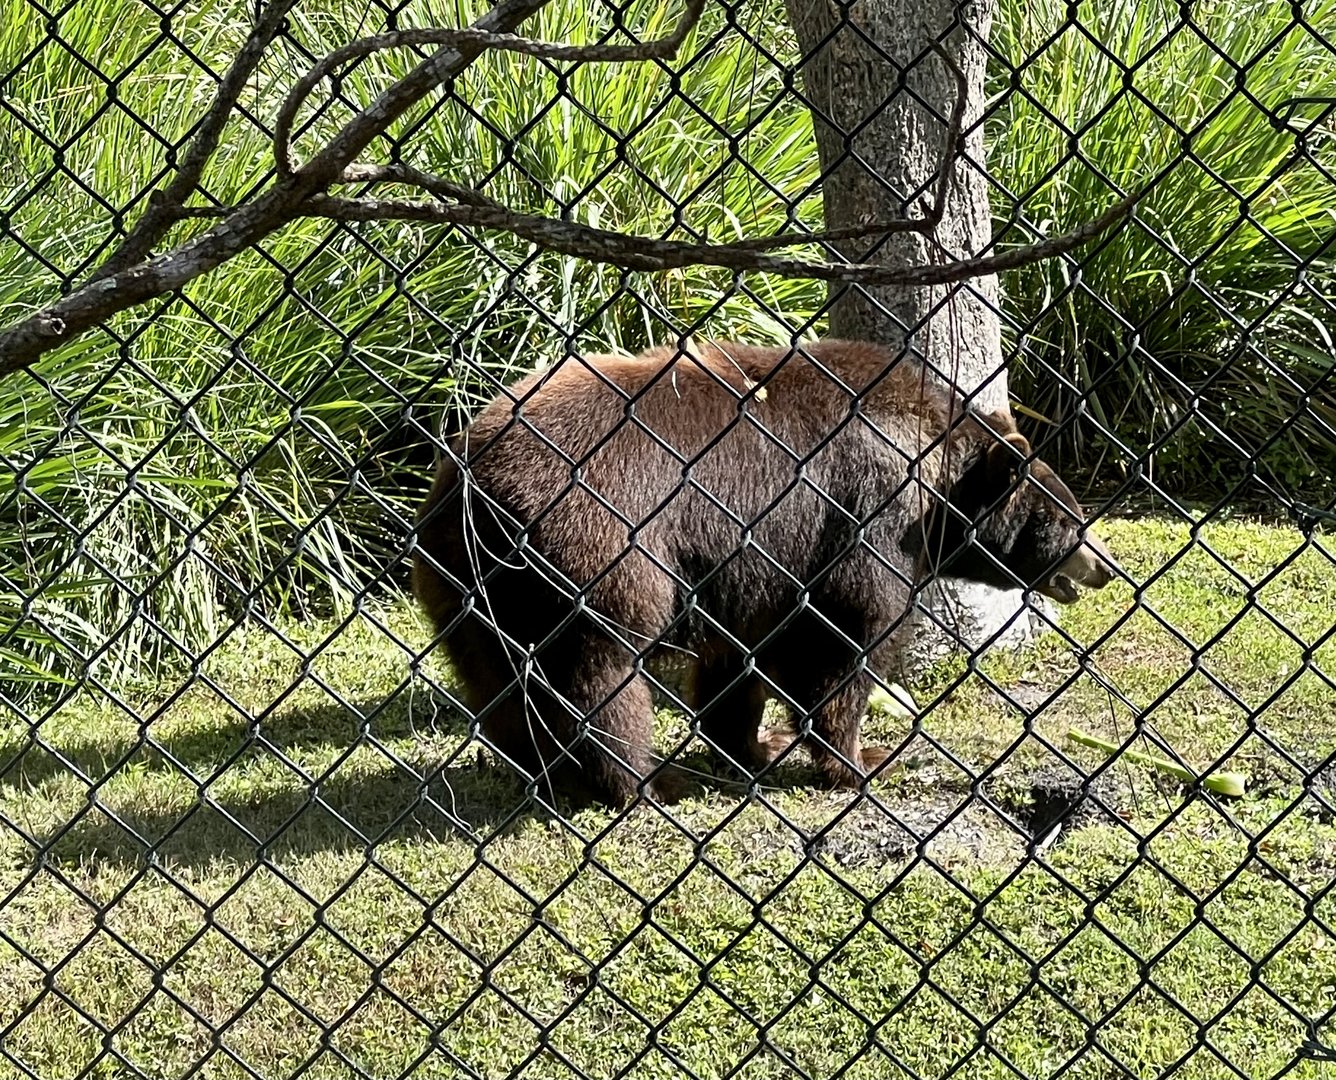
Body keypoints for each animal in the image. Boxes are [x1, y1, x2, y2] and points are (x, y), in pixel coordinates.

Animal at [411, 338, 1117, 807]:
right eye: (1068, 520)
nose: (1104, 567)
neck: (937, 470)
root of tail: (475, 483)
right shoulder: (864, 511)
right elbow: (845, 637)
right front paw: (864, 758)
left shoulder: (756, 563)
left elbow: (744, 655)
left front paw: (755, 743)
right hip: (597, 546)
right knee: (602, 671)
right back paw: (645, 779)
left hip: (462, 579)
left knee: (496, 677)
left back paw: (544, 768)